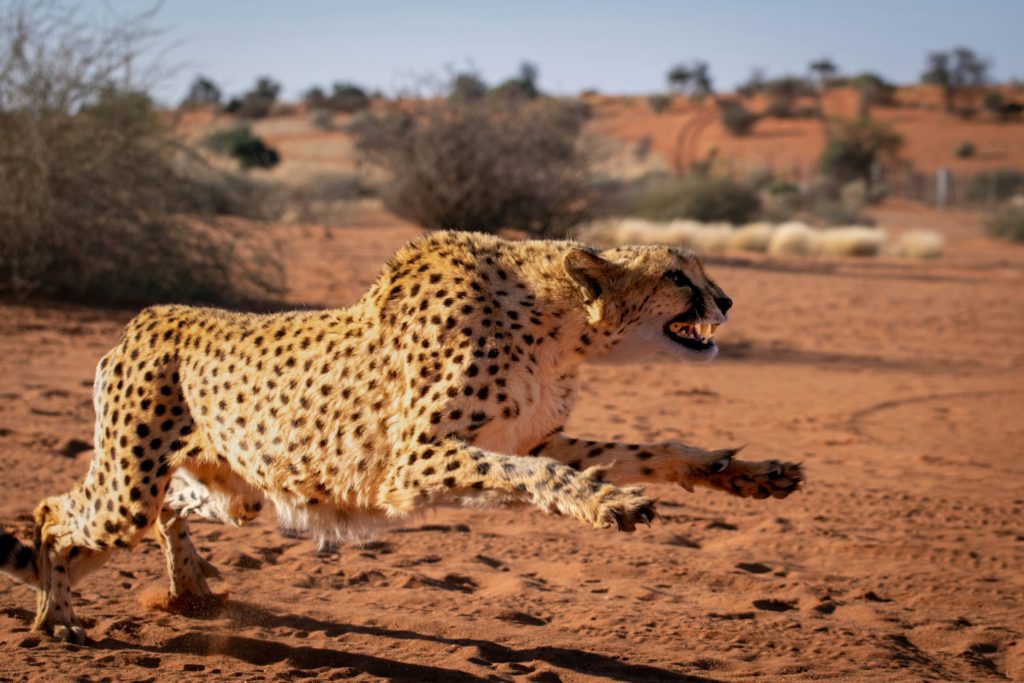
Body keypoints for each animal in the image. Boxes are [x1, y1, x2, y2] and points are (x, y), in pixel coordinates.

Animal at [0, 232, 798, 643]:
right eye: (678, 277)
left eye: (702, 273)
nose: (728, 300)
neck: (559, 326)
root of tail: (147, 315)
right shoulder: (411, 464)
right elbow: (548, 480)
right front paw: (612, 506)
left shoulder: (533, 439)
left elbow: (645, 451)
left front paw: (745, 472)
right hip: (128, 488)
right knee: (52, 513)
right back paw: (54, 613)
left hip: (235, 494)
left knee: (170, 508)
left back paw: (185, 588)